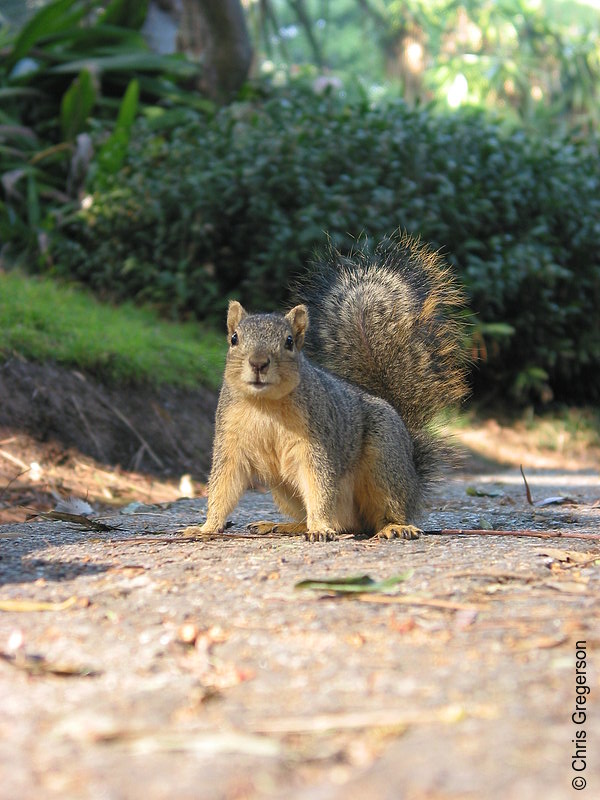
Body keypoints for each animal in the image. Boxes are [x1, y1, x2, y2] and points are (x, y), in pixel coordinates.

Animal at [188, 233, 468, 544]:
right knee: (326, 520)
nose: (258, 363)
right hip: (285, 488)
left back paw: (391, 527)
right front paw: (206, 528)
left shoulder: (315, 444)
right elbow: (223, 486)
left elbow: (319, 485)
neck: (266, 404)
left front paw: (321, 527)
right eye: (234, 338)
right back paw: (285, 526)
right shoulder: (231, 443)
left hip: (385, 462)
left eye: (289, 342)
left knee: (379, 514)